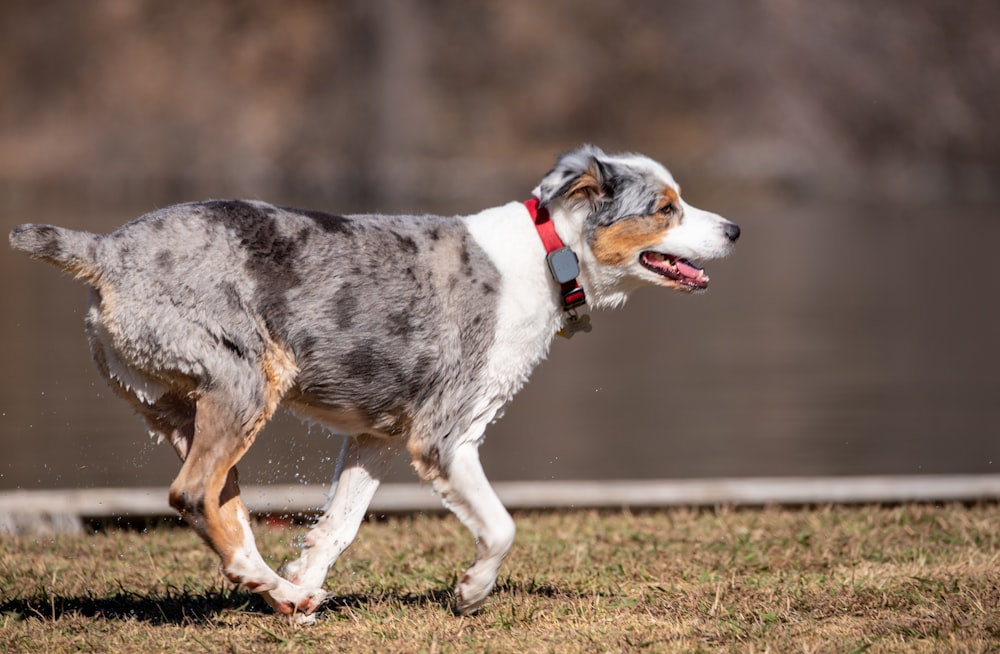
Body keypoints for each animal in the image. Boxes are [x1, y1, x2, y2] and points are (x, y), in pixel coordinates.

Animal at [9, 146, 736, 624]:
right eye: (666, 208)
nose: (734, 229)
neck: (546, 254)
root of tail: (104, 252)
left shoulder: (378, 436)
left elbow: (340, 522)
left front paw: (307, 577)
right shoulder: (444, 435)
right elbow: (500, 526)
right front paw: (470, 591)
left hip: (182, 407)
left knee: (219, 504)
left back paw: (284, 594)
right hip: (244, 382)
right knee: (191, 493)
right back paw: (272, 588)